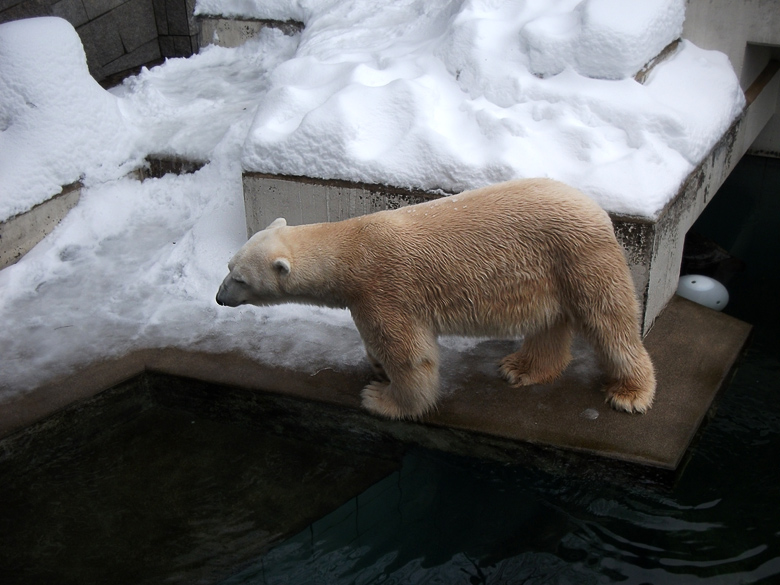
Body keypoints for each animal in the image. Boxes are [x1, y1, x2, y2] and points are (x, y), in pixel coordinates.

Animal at [216, 178, 656, 420]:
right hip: (549, 273)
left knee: (609, 321)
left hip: (579, 257)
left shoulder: (385, 290)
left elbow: (411, 356)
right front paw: (376, 368)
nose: (219, 297)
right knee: (548, 322)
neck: (353, 248)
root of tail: (597, 208)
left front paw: (383, 398)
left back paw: (630, 392)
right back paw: (521, 368)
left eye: (239, 278)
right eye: (228, 264)